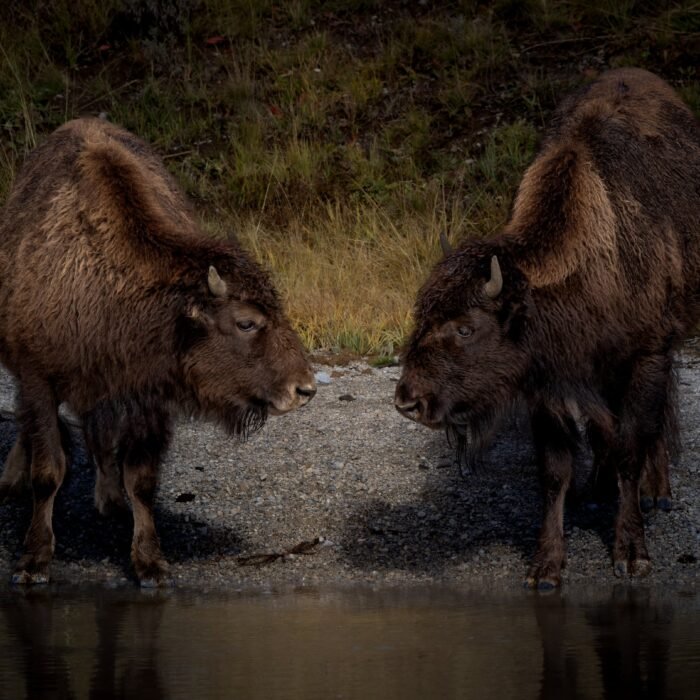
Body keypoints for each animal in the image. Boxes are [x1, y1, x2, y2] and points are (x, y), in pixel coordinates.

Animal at [0, 118, 316, 586]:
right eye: (245, 322)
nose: (305, 388)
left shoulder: (149, 397)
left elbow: (142, 480)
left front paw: (149, 563)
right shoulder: (39, 380)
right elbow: (49, 470)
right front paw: (34, 561)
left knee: (98, 434)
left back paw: (109, 499)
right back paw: (13, 479)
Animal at [395, 68, 700, 587]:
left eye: (466, 328)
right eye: (422, 317)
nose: (408, 400)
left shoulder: (647, 355)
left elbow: (631, 444)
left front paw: (631, 552)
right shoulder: (546, 382)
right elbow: (556, 470)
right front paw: (546, 566)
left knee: (652, 423)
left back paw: (656, 490)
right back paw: (597, 486)